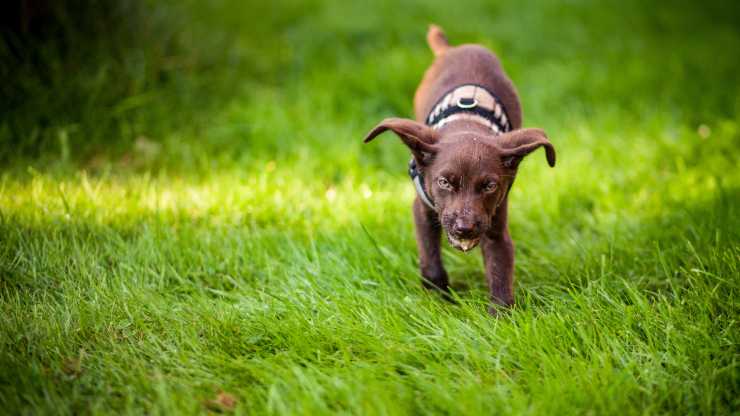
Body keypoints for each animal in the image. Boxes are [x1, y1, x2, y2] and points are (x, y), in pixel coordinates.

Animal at [364, 26, 556, 312]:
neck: (467, 124)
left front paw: (500, 316)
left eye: (489, 186)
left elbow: (500, 267)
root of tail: (454, 49)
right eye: (444, 182)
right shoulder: (422, 211)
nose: (464, 228)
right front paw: (439, 301)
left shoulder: (495, 222)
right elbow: (431, 261)